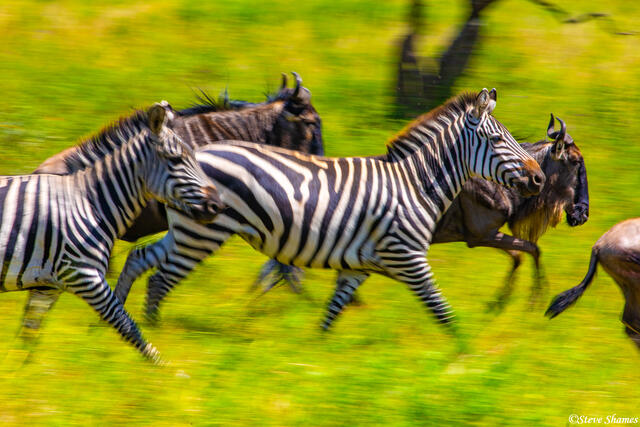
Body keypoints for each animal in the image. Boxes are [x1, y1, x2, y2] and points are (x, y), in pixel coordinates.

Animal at [1, 102, 221, 361]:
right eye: (176, 159)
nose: (217, 205)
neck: (88, 202)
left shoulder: (46, 285)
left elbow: (28, 335)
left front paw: (20, 366)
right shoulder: (84, 274)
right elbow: (125, 322)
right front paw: (160, 366)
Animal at [116, 89, 545, 331]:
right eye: (497, 139)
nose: (539, 178)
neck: (413, 184)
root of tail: (197, 152)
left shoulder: (358, 266)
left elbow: (331, 314)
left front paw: (316, 364)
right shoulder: (408, 257)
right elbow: (442, 311)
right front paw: (464, 357)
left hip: (187, 230)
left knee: (141, 259)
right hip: (201, 234)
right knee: (160, 279)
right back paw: (154, 335)